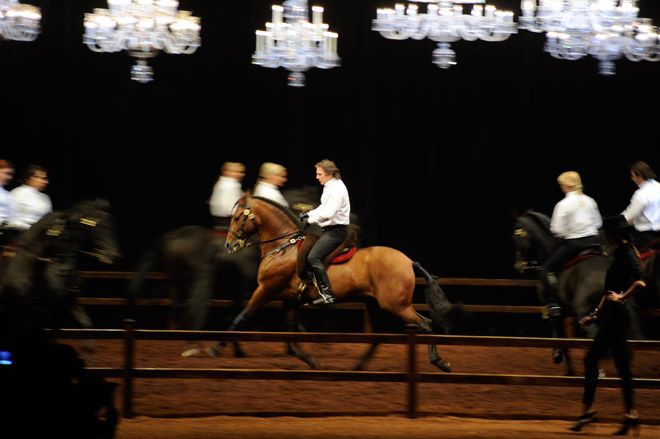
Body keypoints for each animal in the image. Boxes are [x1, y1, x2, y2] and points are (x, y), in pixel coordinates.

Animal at [217, 195, 458, 372]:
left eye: (237, 217)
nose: (229, 245)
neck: (283, 246)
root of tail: (408, 261)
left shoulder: (266, 289)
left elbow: (242, 317)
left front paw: (217, 347)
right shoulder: (289, 299)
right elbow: (291, 334)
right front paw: (312, 361)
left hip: (396, 305)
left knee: (426, 324)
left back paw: (440, 362)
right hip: (375, 304)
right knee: (378, 337)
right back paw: (357, 367)